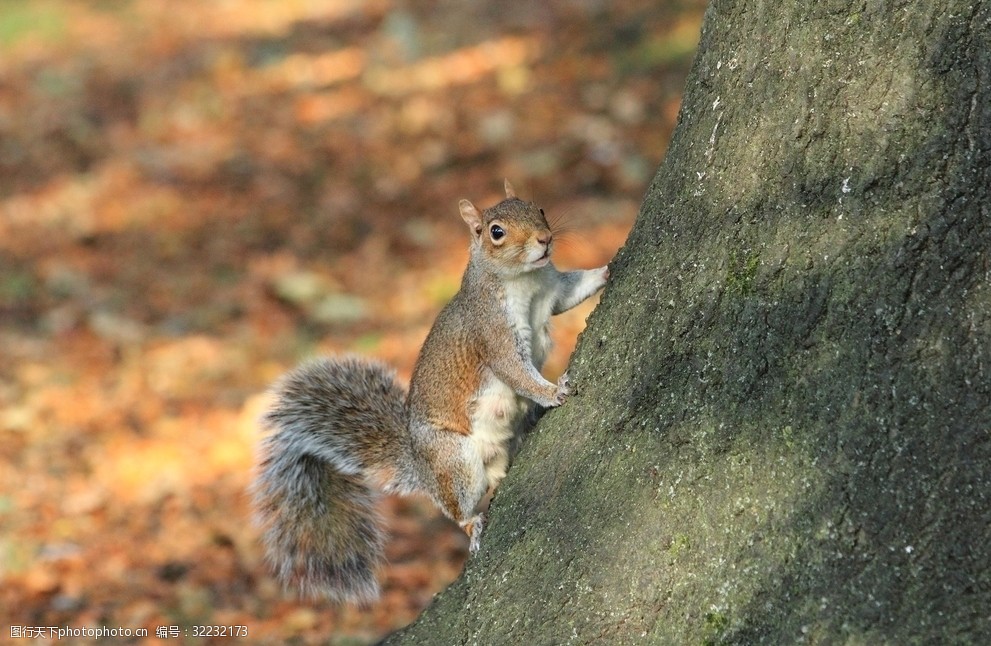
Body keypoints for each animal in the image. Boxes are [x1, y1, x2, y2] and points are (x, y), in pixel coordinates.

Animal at [252, 180, 608, 604]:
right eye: (496, 232)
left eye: (538, 208)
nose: (545, 239)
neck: (524, 281)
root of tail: (419, 466)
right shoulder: (491, 332)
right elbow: (515, 371)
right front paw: (552, 391)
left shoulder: (552, 288)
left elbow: (573, 290)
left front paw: (608, 268)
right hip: (453, 460)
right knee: (458, 507)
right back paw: (472, 524)